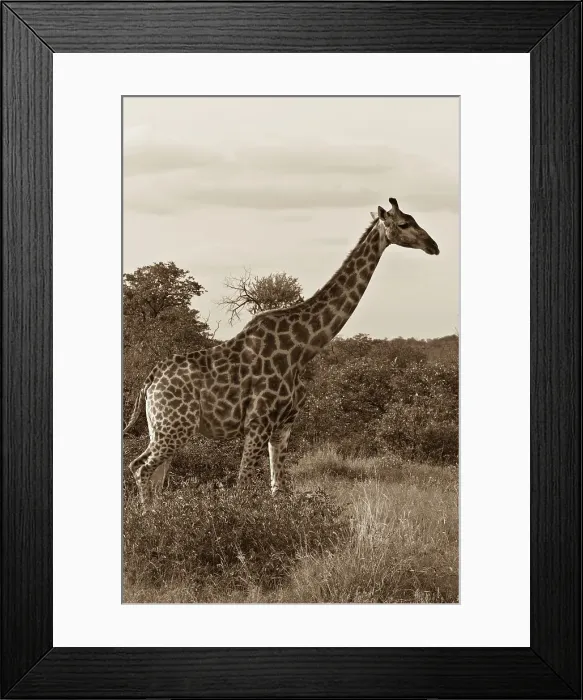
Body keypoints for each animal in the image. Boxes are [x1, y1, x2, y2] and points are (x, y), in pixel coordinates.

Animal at [125, 198, 439, 509]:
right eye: (404, 224)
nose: (433, 245)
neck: (302, 349)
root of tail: (149, 381)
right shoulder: (258, 422)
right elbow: (243, 486)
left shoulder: (283, 426)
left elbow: (279, 489)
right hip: (176, 426)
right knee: (140, 467)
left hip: (162, 427)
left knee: (155, 476)